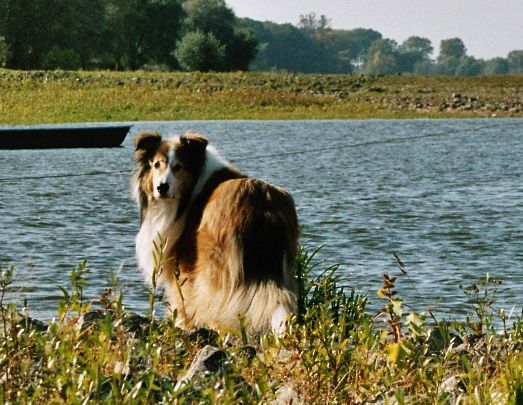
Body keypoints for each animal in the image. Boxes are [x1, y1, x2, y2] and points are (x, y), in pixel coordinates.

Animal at [131, 131, 299, 334]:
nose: (161, 188)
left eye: (178, 166)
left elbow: (182, 300)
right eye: (156, 164)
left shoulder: (185, 264)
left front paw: (182, 326)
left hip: (214, 263)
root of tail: (262, 204)